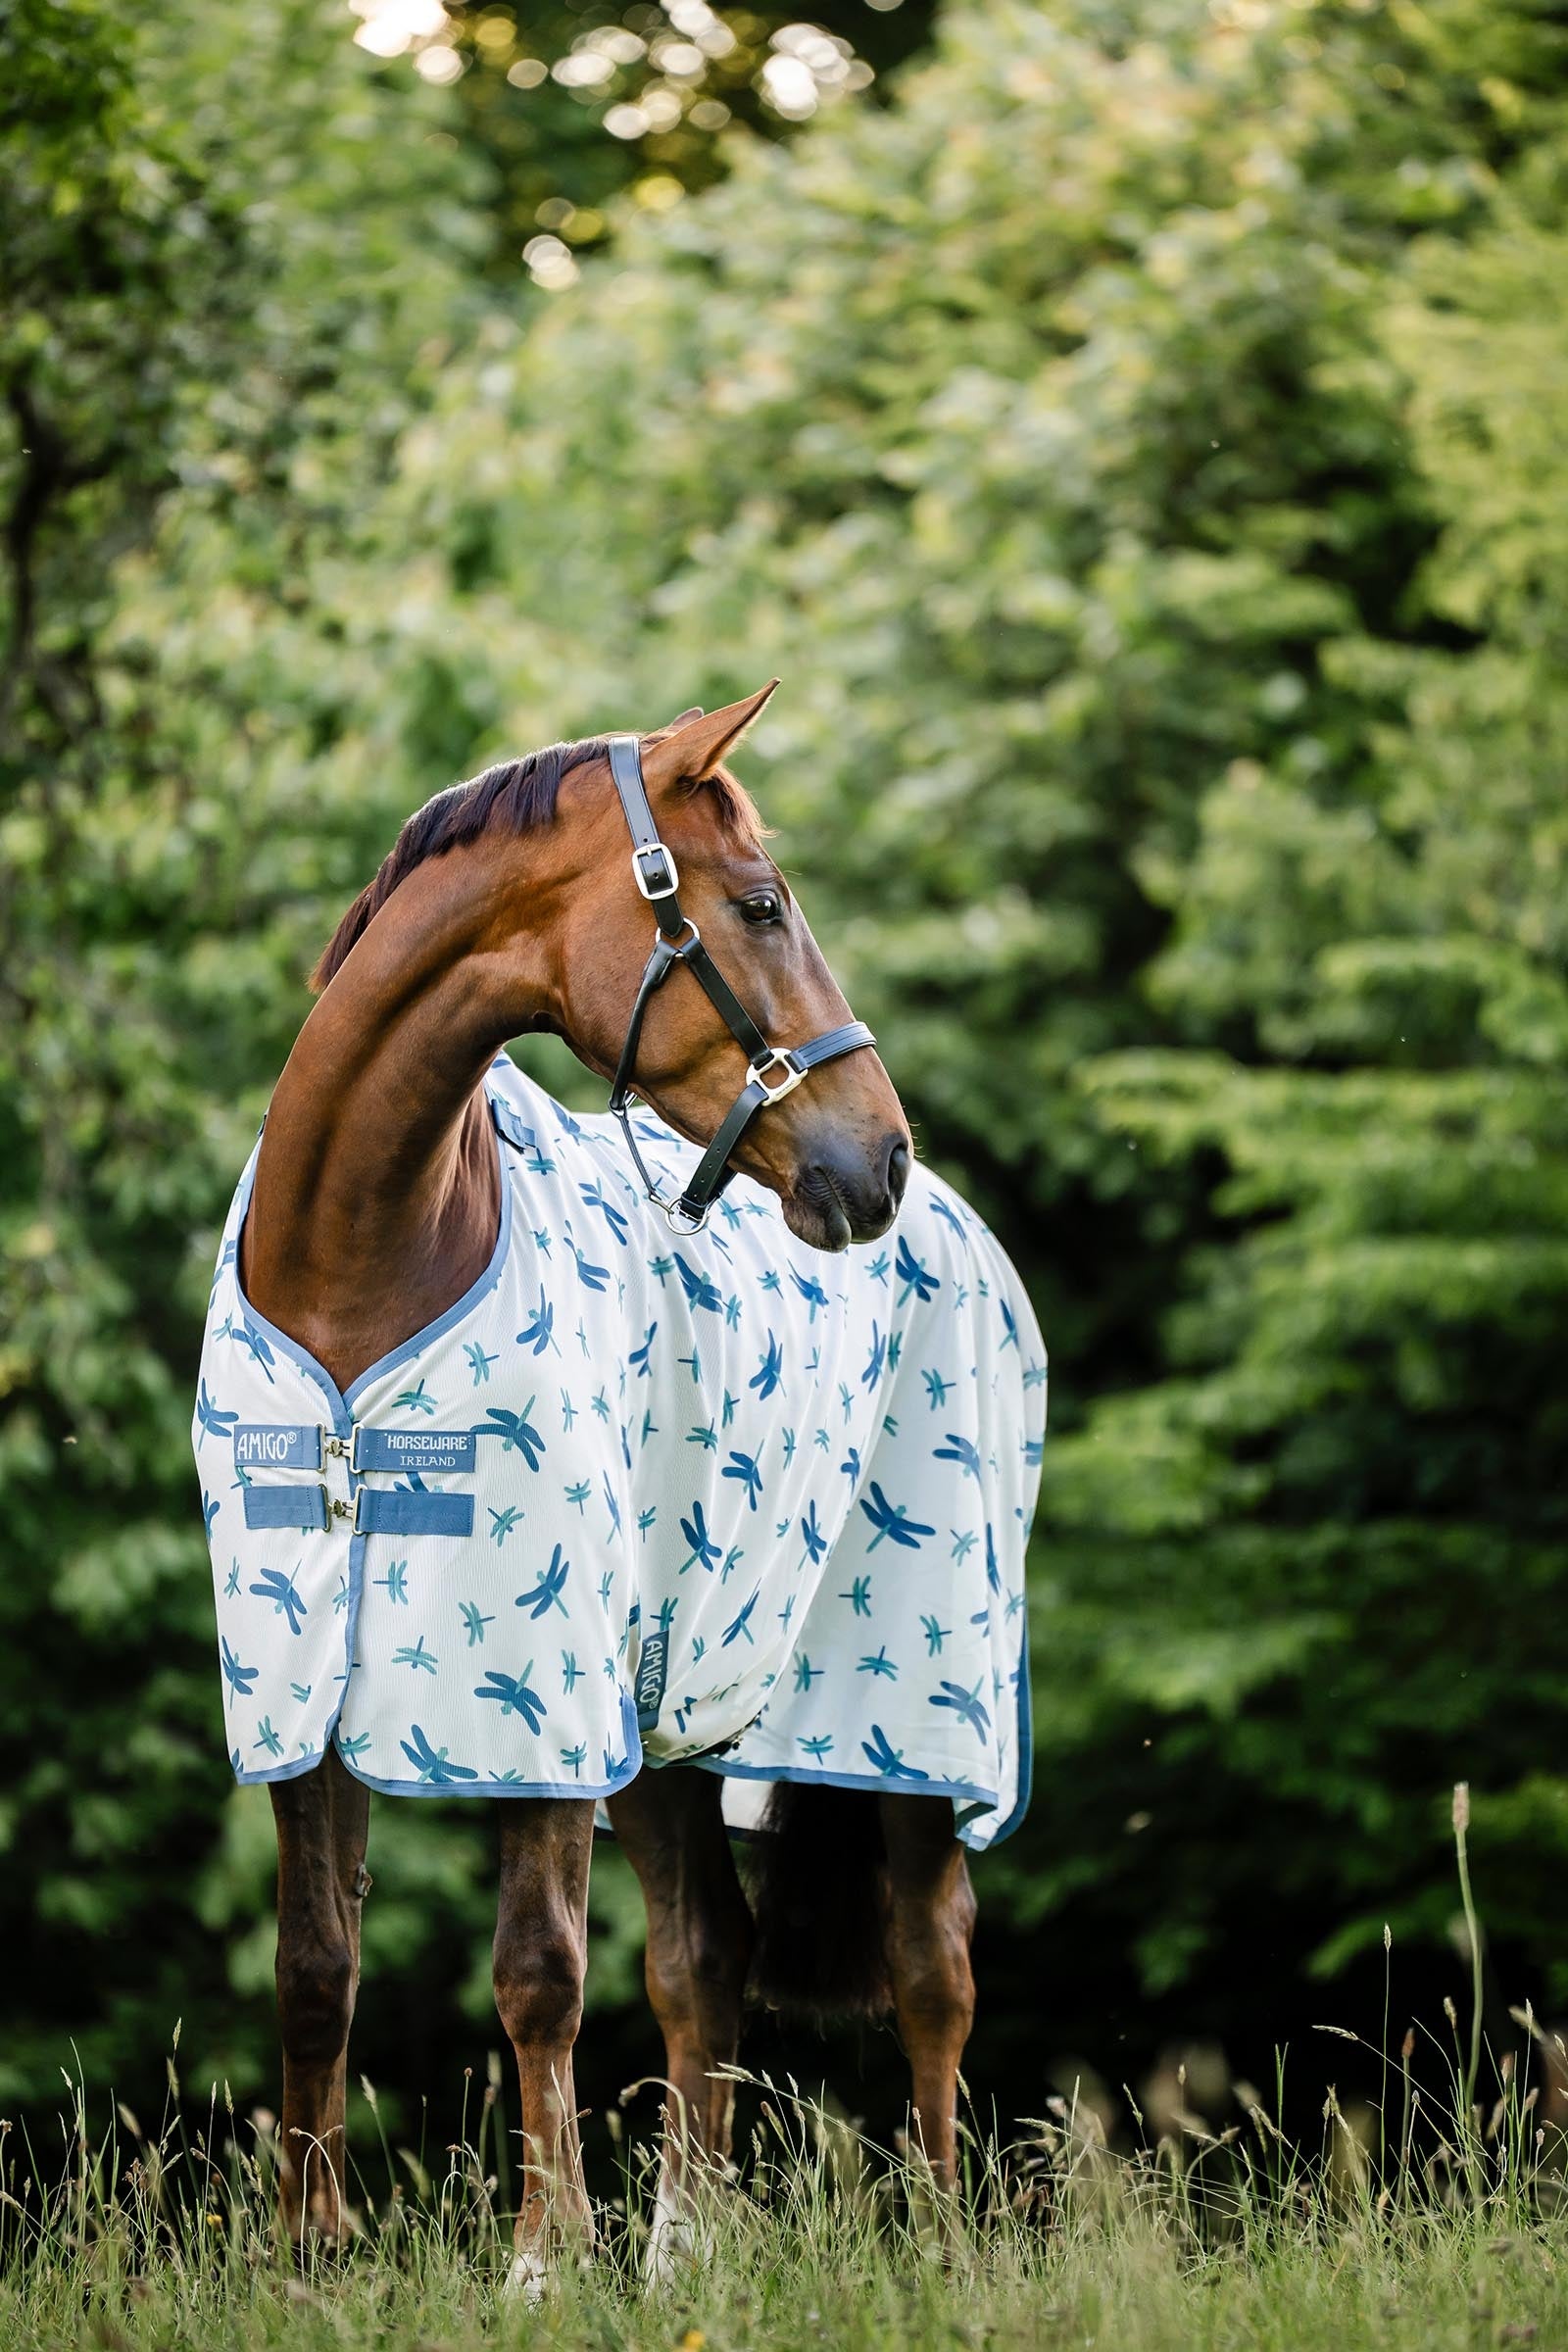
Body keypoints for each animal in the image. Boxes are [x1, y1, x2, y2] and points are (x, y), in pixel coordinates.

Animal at [192, 686, 1045, 2287]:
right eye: (761, 903)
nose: (879, 1159)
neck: (362, 1268)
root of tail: (960, 1230)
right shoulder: (304, 1691)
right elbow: (316, 1969)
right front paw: (304, 2259)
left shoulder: (542, 1703)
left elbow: (539, 1972)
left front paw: (543, 2259)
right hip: (671, 1725)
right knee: (705, 1958)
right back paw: (682, 2252)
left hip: (907, 1733)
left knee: (933, 1967)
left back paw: (946, 2249)